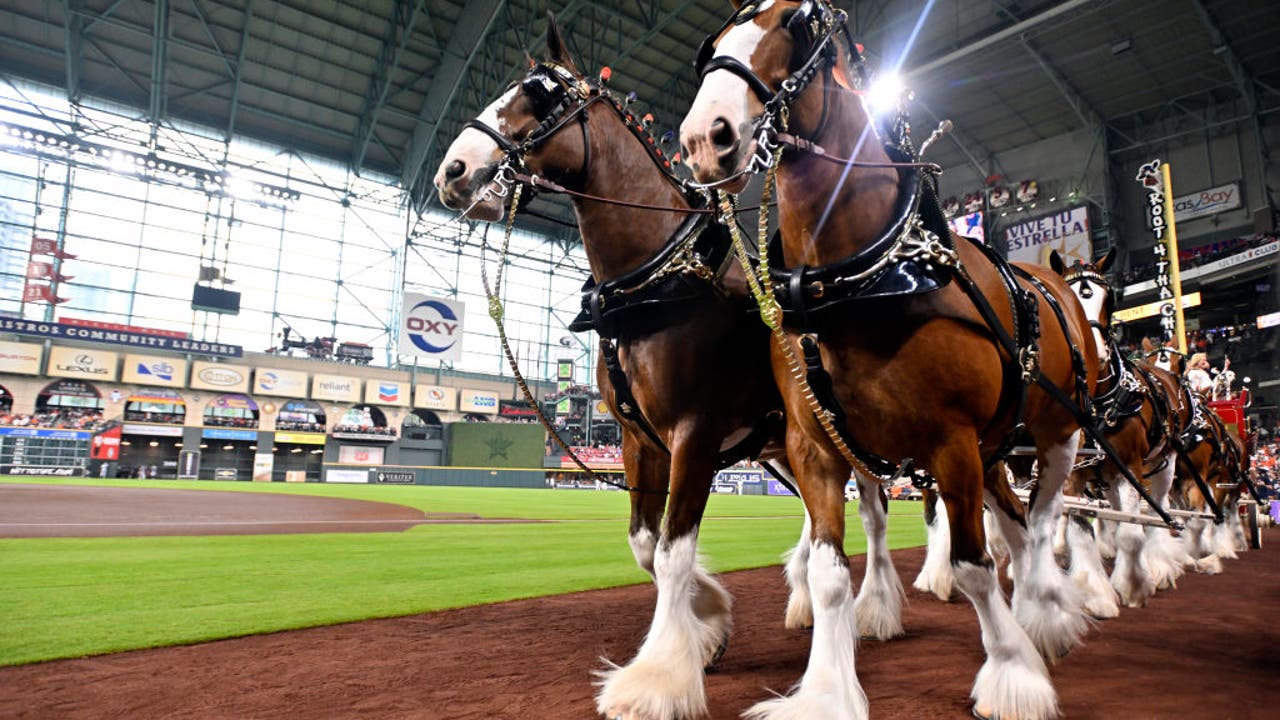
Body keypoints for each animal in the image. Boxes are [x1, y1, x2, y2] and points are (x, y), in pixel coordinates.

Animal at [437, 22, 911, 717]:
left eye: (539, 93)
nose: (453, 170)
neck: (658, 282)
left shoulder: (694, 435)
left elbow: (671, 551)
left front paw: (659, 675)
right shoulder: (639, 440)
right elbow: (645, 543)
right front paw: (709, 621)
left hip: (846, 436)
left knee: (875, 517)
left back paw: (875, 609)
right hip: (784, 446)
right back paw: (804, 597)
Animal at [680, 2, 1100, 712]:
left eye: (794, 24)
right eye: (711, 46)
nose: (704, 140)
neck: (860, 277)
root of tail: (1054, 281)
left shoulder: (949, 442)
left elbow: (971, 567)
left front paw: (1012, 673)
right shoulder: (814, 448)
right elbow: (828, 574)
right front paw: (826, 692)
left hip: (1056, 431)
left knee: (1043, 522)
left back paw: (1045, 613)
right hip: (992, 451)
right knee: (1017, 525)